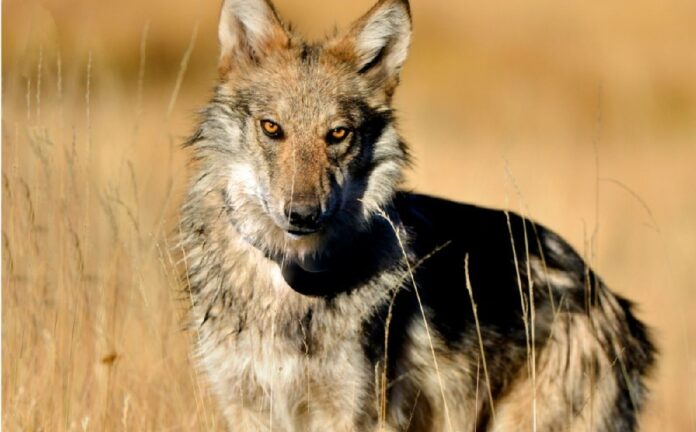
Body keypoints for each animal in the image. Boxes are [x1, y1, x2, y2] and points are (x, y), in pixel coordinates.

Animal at [179, 0, 655, 430]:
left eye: (338, 134)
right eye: (271, 128)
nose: (303, 215)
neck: (289, 287)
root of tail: (610, 300)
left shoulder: (358, 414)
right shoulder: (246, 406)